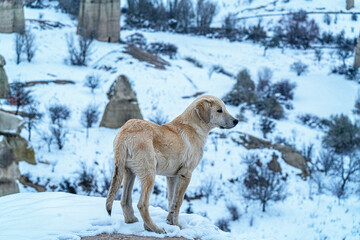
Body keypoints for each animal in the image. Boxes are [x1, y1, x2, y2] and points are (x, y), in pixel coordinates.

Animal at [105, 94, 238, 233]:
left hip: (128, 172)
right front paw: (176, 224)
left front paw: (171, 222)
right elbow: (178, 201)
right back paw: (155, 228)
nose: (236, 121)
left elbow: (171, 199)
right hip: (149, 173)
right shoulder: (185, 174)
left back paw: (132, 221)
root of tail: (124, 133)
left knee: (124, 200)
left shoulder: (172, 176)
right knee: (142, 204)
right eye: (219, 110)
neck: (194, 126)